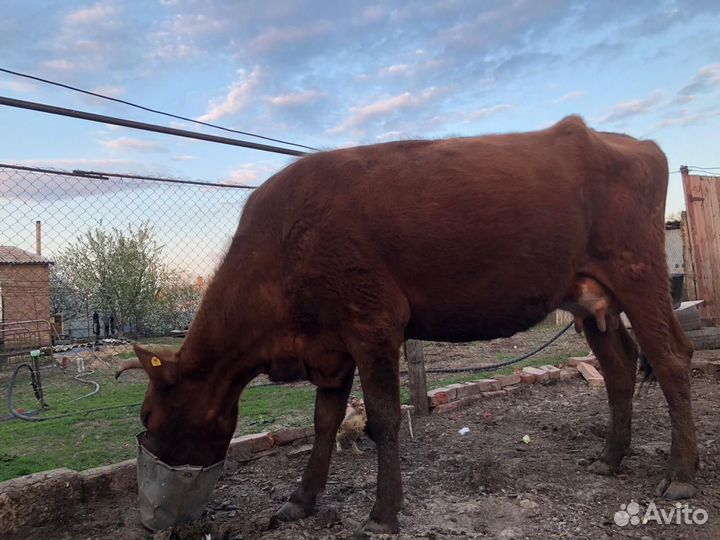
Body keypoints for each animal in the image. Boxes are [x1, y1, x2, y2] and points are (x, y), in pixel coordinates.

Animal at [117, 115, 697, 534]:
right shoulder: (330, 347)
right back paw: (610, 457)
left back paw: (680, 476)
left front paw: (383, 514)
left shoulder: (373, 321)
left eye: (147, 414)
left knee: (671, 359)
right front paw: (301, 501)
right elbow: (325, 422)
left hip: (638, 273)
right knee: (620, 367)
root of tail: (629, 141)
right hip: (591, 299)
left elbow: (384, 419)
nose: (148, 519)